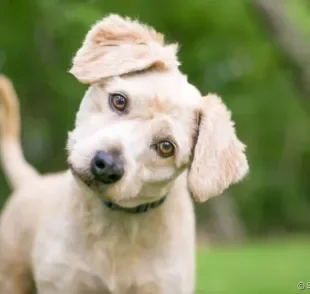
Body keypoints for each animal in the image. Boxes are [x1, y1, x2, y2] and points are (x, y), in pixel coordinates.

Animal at [0, 14, 248, 294]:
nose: (107, 165)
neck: (116, 226)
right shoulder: (63, 282)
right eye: (119, 100)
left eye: (166, 146)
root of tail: (31, 181)